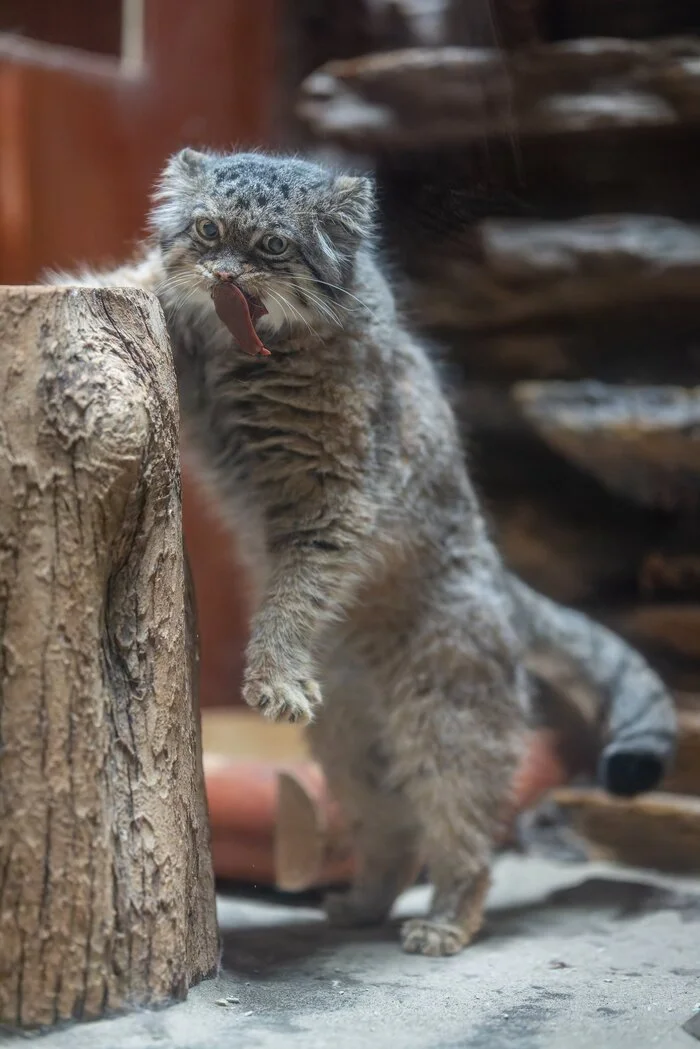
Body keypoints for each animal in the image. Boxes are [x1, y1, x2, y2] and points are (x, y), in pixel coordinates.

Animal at [54, 150, 680, 960]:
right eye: (209, 230)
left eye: (274, 247)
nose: (225, 276)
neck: (241, 355)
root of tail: (499, 576)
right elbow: (139, 283)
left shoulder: (337, 497)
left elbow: (299, 584)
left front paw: (274, 667)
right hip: (348, 737)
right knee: (390, 828)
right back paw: (365, 901)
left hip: (449, 709)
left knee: (461, 825)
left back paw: (449, 915)